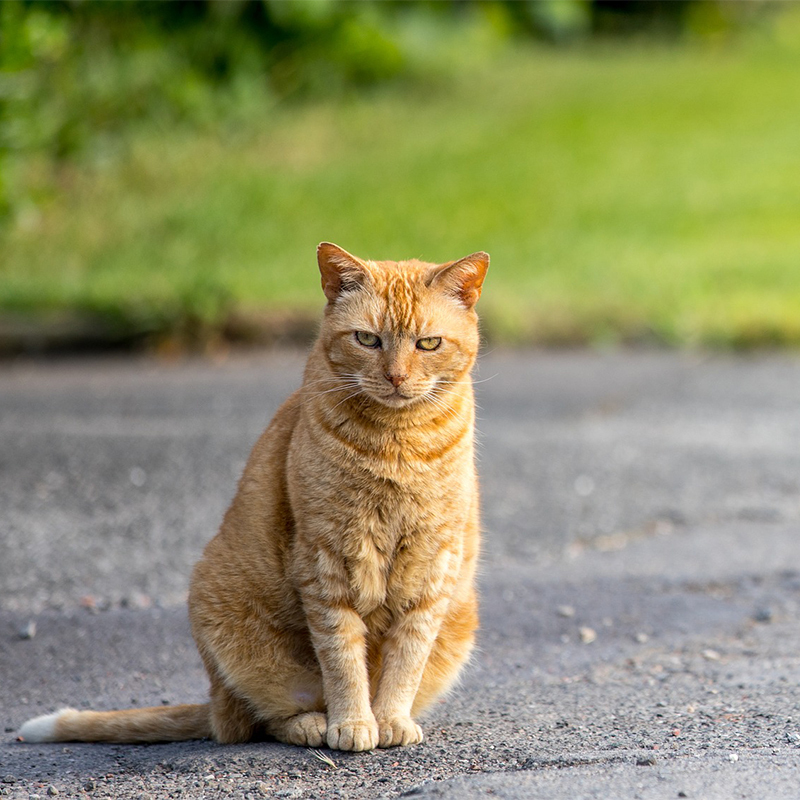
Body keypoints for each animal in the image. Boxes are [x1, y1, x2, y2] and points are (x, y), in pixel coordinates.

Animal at [20, 242, 488, 752]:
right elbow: (342, 657)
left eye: (428, 344)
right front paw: (353, 723)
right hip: (231, 628)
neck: (397, 445)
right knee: (263, 718)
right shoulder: (325, 562)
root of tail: (214, 703)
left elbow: (407, 656)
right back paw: (313, 723)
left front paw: (390, 719)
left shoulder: (432, 565)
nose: (396, 377)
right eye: (367, 339)